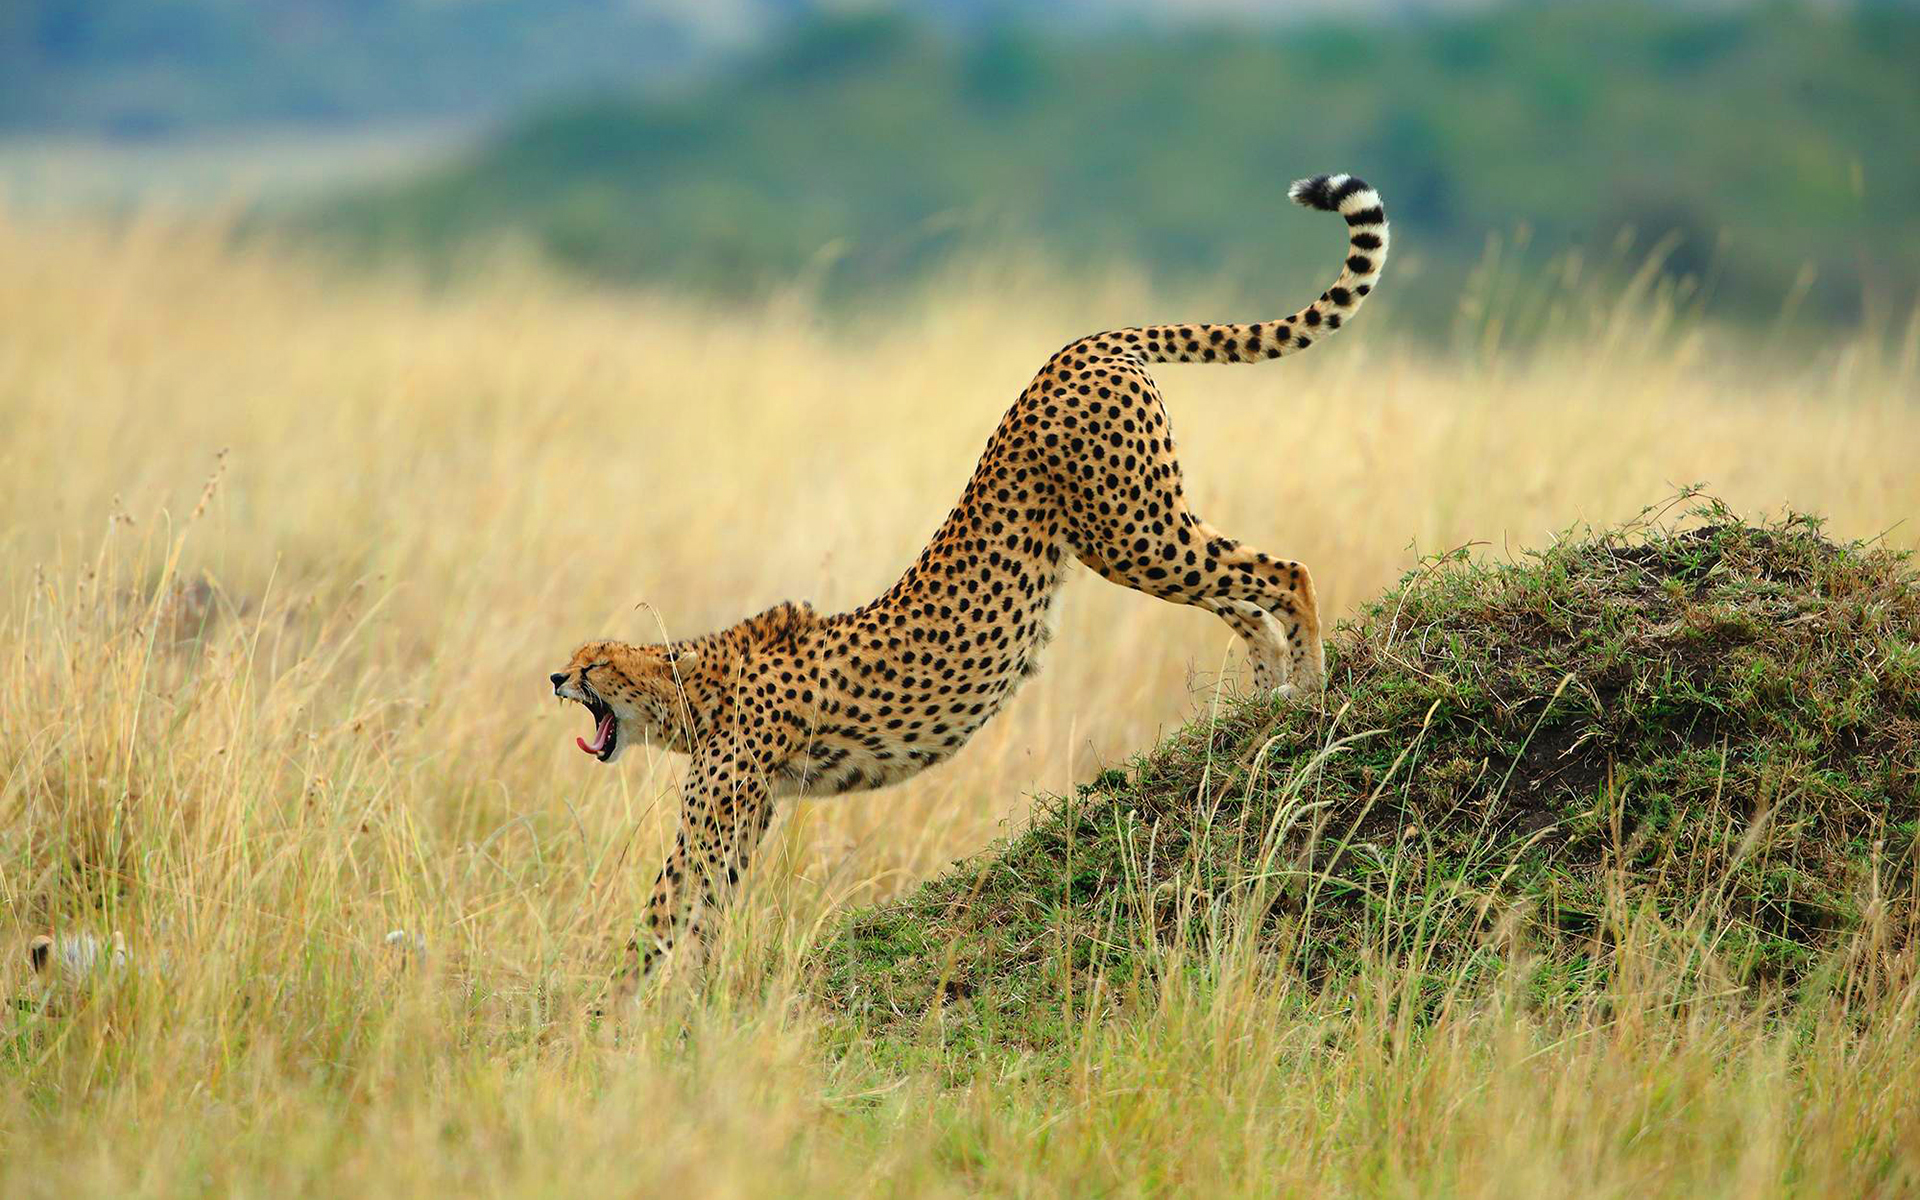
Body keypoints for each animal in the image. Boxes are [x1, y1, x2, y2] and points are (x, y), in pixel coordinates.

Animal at [551, 173, 1389, 989]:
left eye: (595, 663)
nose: (556, 676)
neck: (692, 684)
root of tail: (1084, 342)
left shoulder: (730, 799)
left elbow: (667, 906)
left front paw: (616, 1006)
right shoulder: (747, 808)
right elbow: (703, 906)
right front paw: (681, 992)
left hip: (1131, 530)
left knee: (1284, 571)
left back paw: (1310, 688)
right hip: (1138, 531)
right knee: (1242, 598)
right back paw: (1259, 702)